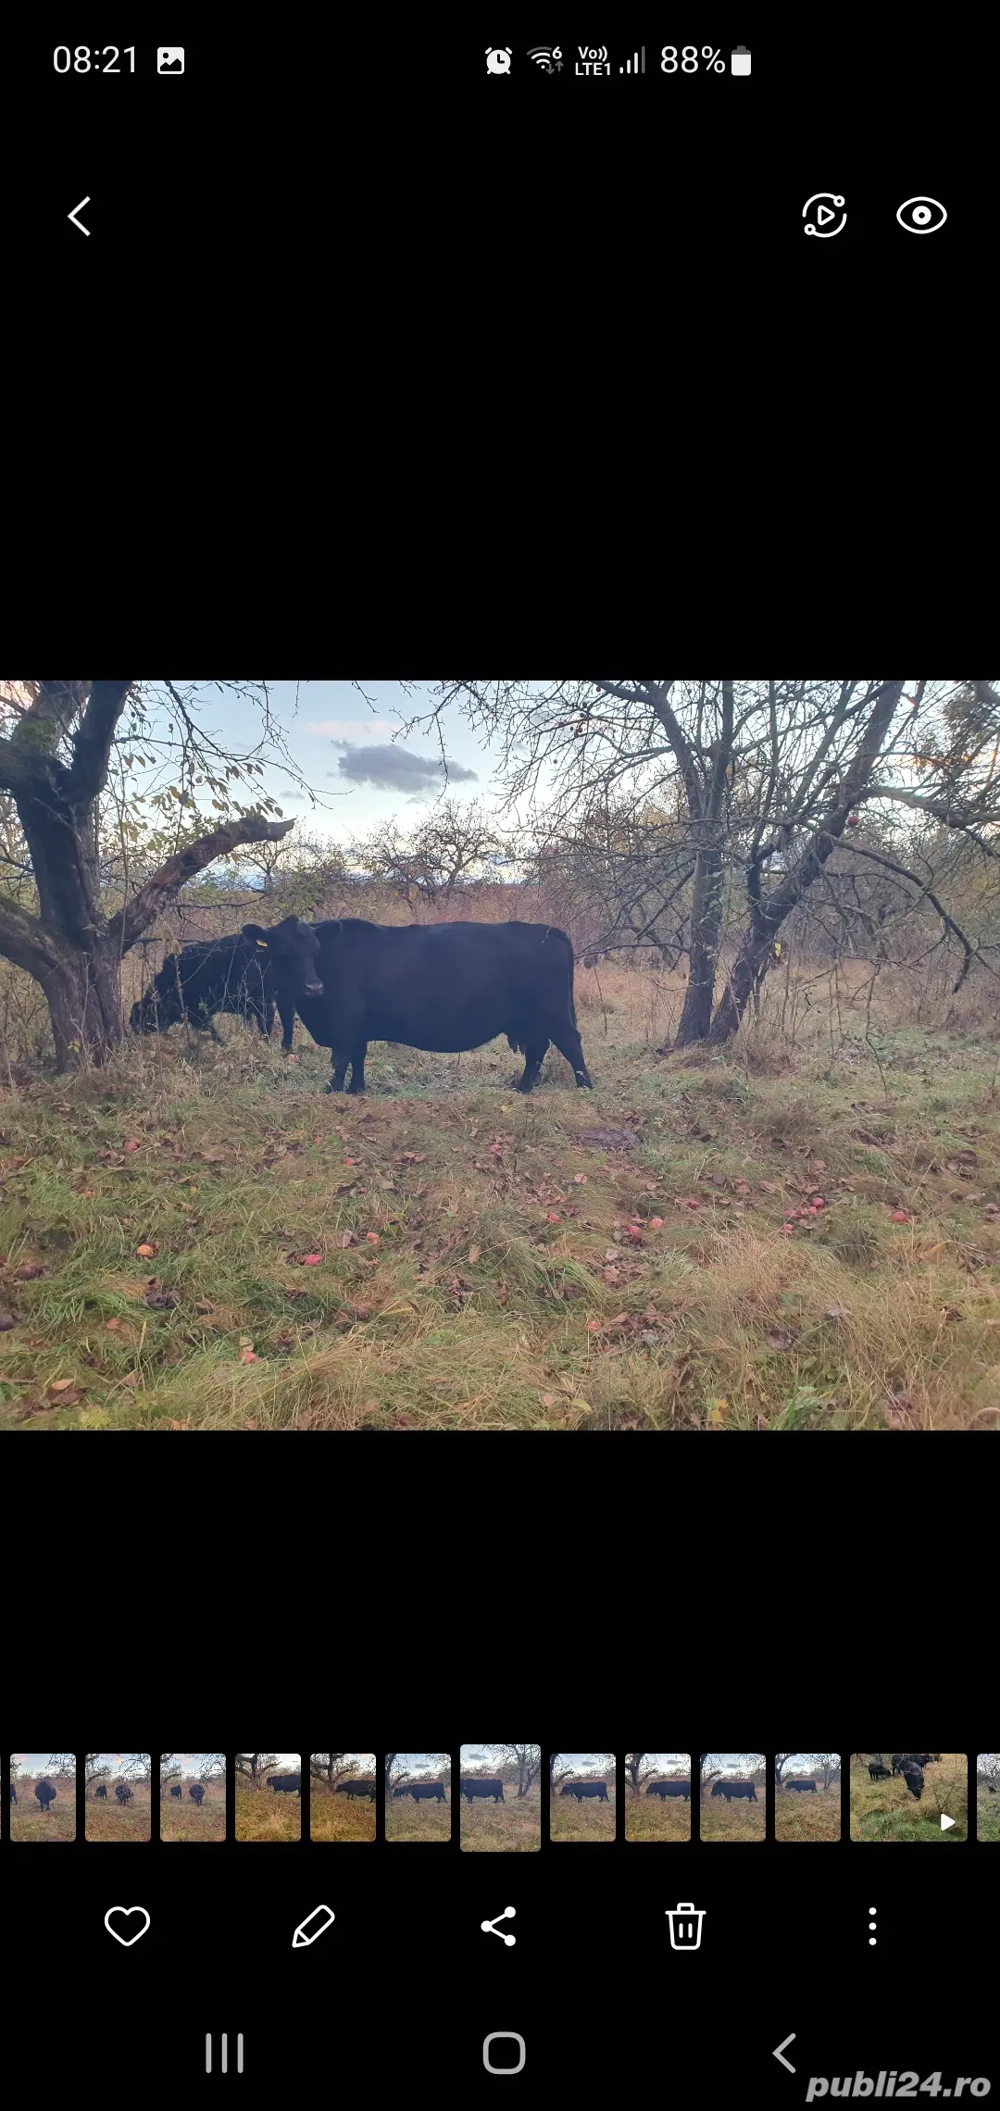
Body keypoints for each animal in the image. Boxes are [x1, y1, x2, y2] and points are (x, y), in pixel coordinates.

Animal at [130, 935, 292, 1044]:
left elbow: (213, 1033)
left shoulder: (198, 1013)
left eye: (142, 1016)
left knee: (267, 1025)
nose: (135, 1030)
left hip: (263, 1002)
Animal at [241, 916, 593, 1095]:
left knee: (570, 1043)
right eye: (282, 950)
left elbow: (340, 1060)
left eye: (315, 950)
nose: (314, 987)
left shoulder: (345, 1022)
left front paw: (333, 1090)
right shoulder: (359, 1028)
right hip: (532, 1020)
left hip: (552, 1013)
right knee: (538, 1050)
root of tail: (549, 930)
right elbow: (358, 1057)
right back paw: (523, 1088)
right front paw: (357, 1089)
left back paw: (585, 1086)